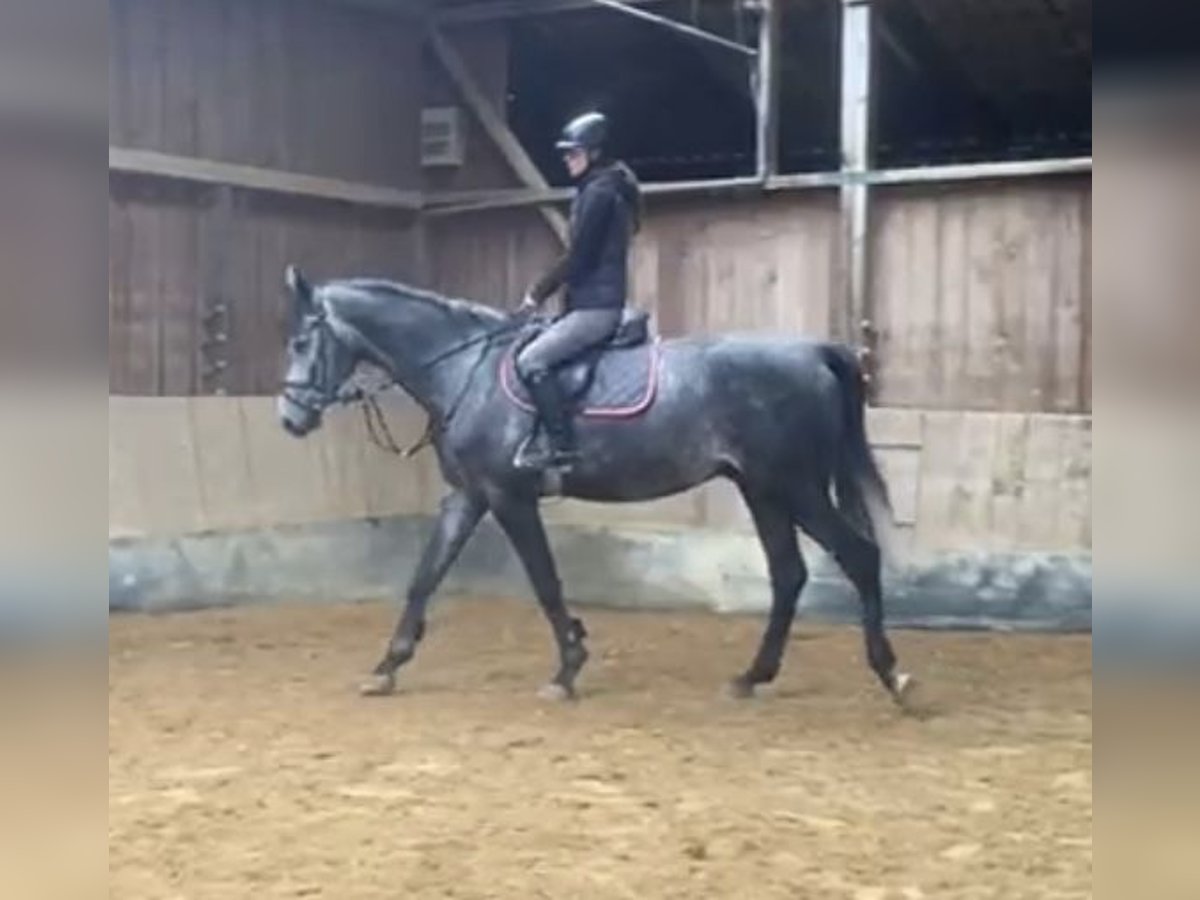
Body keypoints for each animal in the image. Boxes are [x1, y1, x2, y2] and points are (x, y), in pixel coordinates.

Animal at [277, 265, 913, 705]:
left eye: (302, 342)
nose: (289, 420)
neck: (465, 372)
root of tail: (815, 352)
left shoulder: (508, 497)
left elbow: (545, 582)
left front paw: (568, 666)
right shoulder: (468, 495)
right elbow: (424, 576)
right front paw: (387, 667)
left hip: (795, 486)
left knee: (859, 556)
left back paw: (892, 673)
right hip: (763, 490)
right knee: (788, 574)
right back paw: (751, 677)